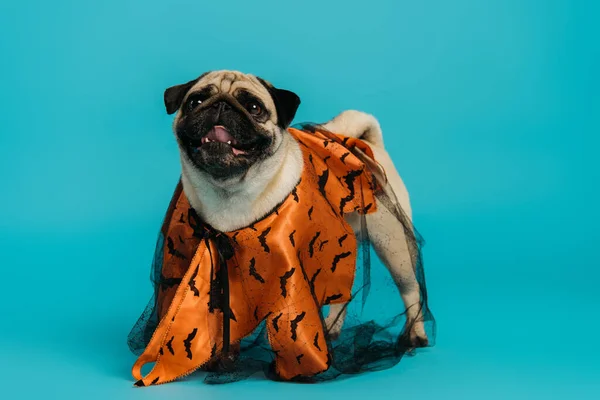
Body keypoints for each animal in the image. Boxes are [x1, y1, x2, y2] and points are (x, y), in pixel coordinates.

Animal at [162, 69, 428, 354]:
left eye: (254, 107)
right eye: (196, 102)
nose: (221, 105)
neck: (230, 192)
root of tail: (364, 143)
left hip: (393, 245)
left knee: (412, 291)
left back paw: (416, 334)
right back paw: (332, 327)